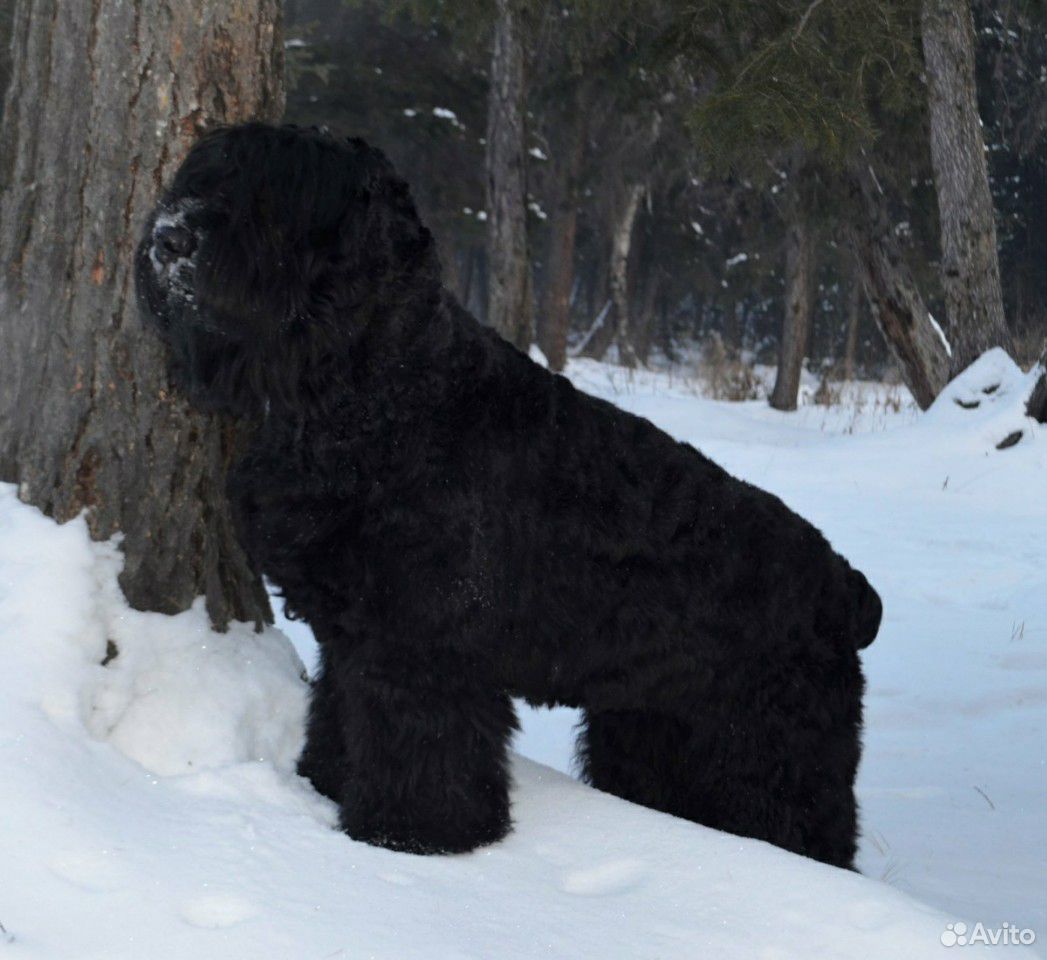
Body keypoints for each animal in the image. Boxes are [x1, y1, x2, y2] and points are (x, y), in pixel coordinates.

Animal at [135, 123, 879, 866]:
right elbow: (340, 714)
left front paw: (408, 836)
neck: (378, 389)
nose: (170, 237)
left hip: (773, 751)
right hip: (648, 728)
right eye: (202, 176)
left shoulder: (420, 650)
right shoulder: (353, 638)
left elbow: (418, 748)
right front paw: (326, 783)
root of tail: (845, 587)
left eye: (277, 195)